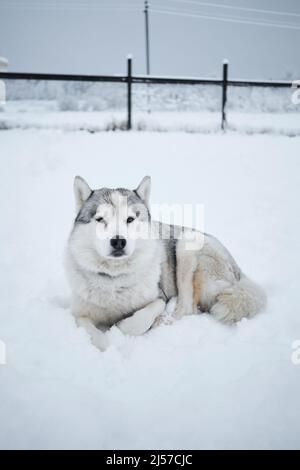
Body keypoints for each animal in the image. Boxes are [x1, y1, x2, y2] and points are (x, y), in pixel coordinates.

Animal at [65, 175, 264, 348]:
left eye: (130, 219)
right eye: (100, 219)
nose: (118, 241)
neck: (115, 281)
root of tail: (238, 271)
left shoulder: (159, 297)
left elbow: (140, 319)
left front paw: (121, 327)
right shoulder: (79, 314)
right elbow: (96, 337)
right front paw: (106, 345)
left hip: (186, 246)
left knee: (187, 308)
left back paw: (163, 320)